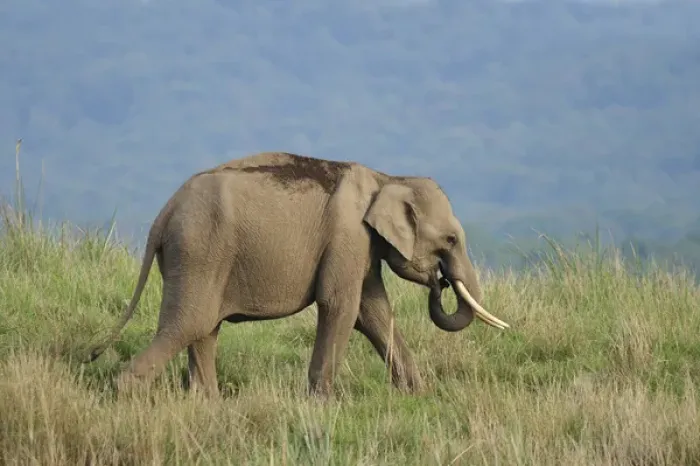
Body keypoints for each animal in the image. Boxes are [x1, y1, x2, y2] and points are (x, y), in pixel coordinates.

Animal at [85, 151, 510, 397]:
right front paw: (324, 403)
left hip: (196, 258)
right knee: (191, 323)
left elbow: (373, 311)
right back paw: (125, 394)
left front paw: (416, 394)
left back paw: (207, 404)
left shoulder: (362, 246)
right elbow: (341, 307)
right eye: (450, 239)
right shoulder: (348, 236)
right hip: (199, 251)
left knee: (203, 328)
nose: (440, 281)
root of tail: (165, 212)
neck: (386, 178)